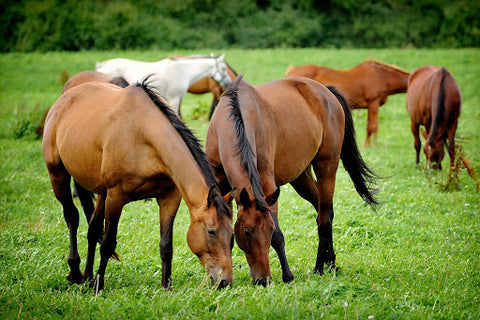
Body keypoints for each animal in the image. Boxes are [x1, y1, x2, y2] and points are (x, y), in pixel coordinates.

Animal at [40, 79, 234, 292]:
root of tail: (65, 98)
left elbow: (166, 244)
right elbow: (108, 243)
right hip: (58, 175)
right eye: (211, 231)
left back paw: (87, 276)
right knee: (72, 217)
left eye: (232, 235)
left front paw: (166, 286)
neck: (144, 136)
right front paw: (99, 284)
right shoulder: (116, 198)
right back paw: (75, 272)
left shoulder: (169, 198)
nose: (225, 281)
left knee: (93, 228)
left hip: (101, 193)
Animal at [206, 76, 378, 286]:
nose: (263, 280)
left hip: (327, 168)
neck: (232, 118)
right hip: (301, 177)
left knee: (324, 217)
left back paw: (320, 267)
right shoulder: (222, 187)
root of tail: (326, 91)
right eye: (247, 231)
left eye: (269, 230)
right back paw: (331, 262)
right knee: (325, 210)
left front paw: (287, 275)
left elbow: (279, 235)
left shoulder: (267, 184)